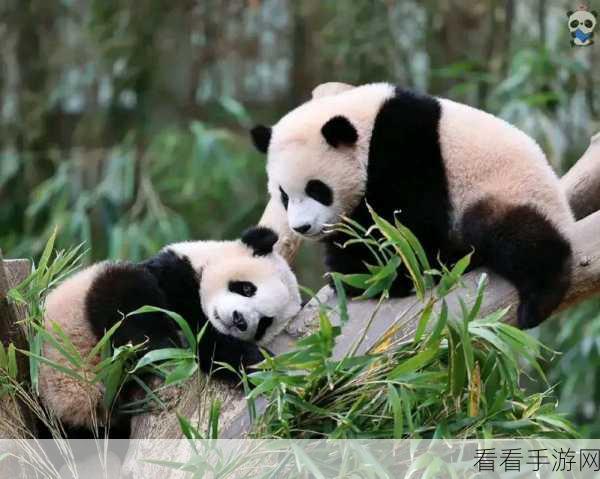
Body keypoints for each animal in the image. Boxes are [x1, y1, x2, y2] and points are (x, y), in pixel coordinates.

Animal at [251, 82, 576, 330]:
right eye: (283, 195)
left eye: (317, 189)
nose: (302, 227)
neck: (367, 124)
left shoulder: (407, 148)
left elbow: (404, 228)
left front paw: (369, 274)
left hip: (508, 191)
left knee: (512, 235)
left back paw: (538, 299)